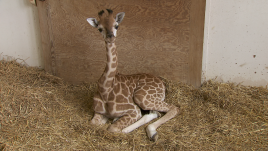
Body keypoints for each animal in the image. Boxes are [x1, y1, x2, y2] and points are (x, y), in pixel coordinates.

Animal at [87, 9, 180, 142]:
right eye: (99, 28)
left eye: (116, 25)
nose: (111, 37)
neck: (105, 90)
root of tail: (162, 82)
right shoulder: (98, 112)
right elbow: (93, 123)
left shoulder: (134, 110)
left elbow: (114, 129)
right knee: (157, 112)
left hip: (141, 97)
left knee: (174, 108)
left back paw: (152, 133)